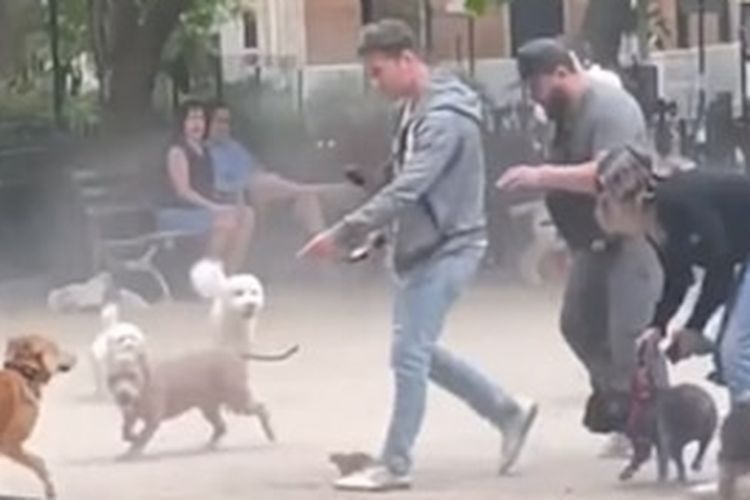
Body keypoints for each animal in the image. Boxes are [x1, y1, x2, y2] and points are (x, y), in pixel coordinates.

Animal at [0, 334, 75, 498]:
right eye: (57, 349)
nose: (75, 356)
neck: (25, 374)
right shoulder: (9, 445)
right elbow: (40, 463)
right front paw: (50, 488)